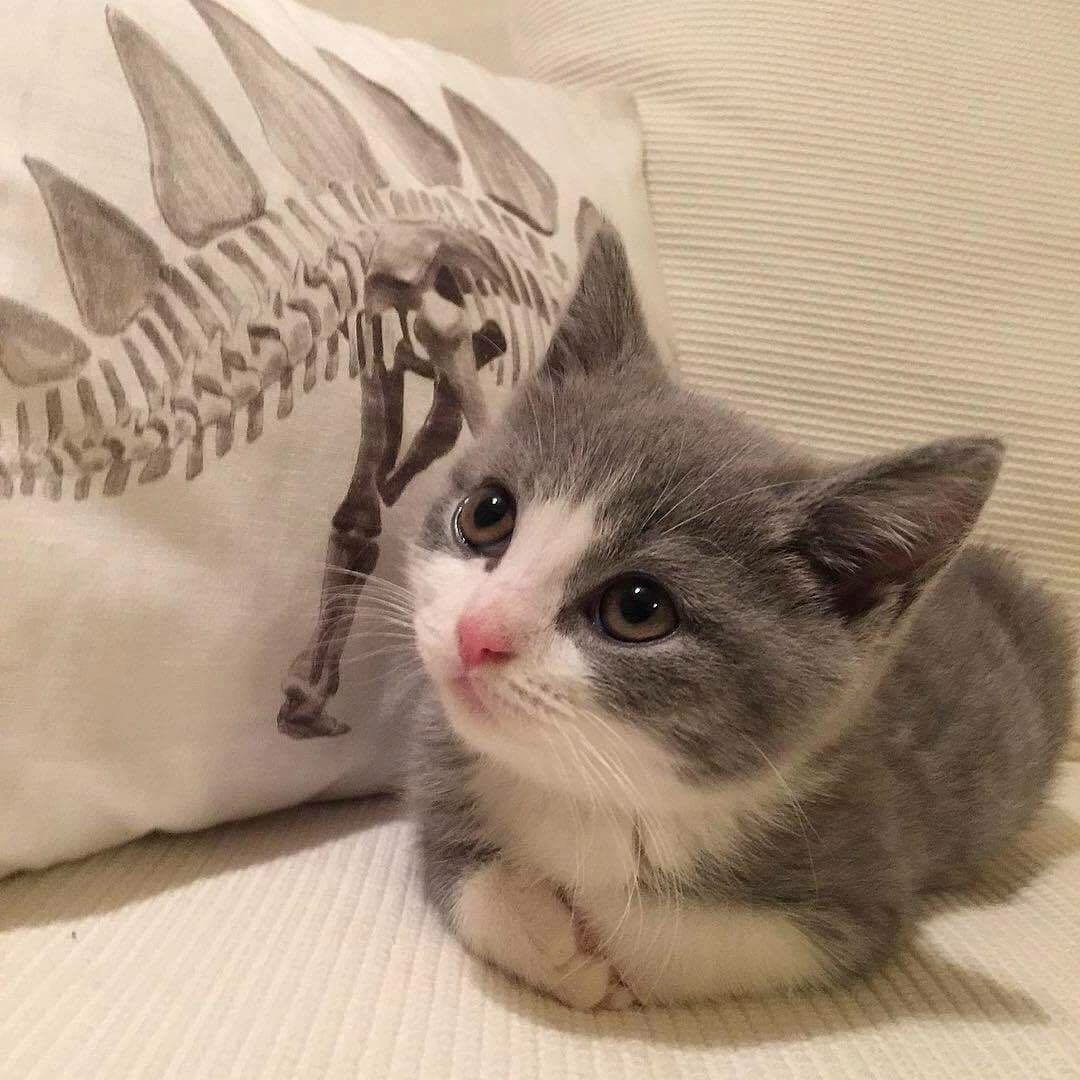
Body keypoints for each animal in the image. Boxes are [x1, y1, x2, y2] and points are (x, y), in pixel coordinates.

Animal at [406, 225, 1075, 1010]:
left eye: (637, 609)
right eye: (487, 514)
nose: (476, 634)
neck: (582, 783)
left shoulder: (862, 878)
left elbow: (674, 931)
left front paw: (599, 930)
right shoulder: (435, 768)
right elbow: (465, 878)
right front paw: (545, 932)